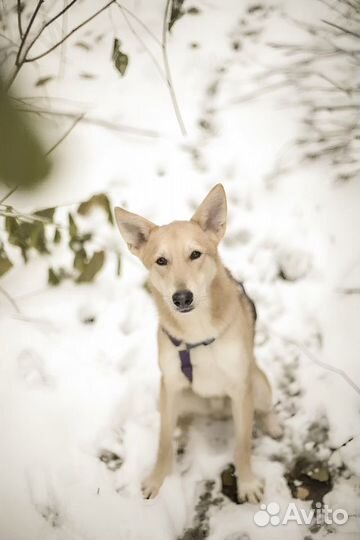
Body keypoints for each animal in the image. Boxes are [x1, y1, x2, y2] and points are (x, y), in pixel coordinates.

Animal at [114, 185, 282, 502]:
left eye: (195, 254)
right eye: (161, 261)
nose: (182, 298)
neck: (197, 333)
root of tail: (215, 410)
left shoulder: (240, 387)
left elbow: (242, 444)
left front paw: (247, 483)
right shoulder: (170, 384)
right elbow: (163, 442)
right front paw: (157, 480)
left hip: (258, 384)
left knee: (265, 409)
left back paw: (273, 425)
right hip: (176, 396)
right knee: (180, 422)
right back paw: (182, 432)